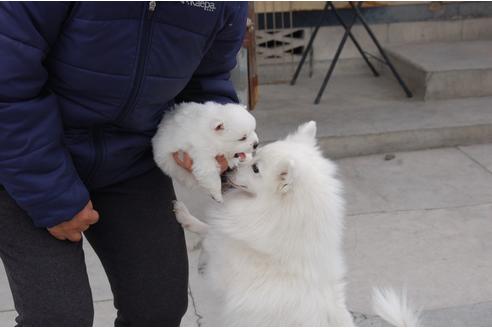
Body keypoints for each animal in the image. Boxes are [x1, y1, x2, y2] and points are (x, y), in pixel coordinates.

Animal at [173, 121, 418, 326]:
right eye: (254, 155)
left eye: (256, 169)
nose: (227, 171)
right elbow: (212, 228)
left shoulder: (223, 262)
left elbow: (211, 233)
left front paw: (185, 218)